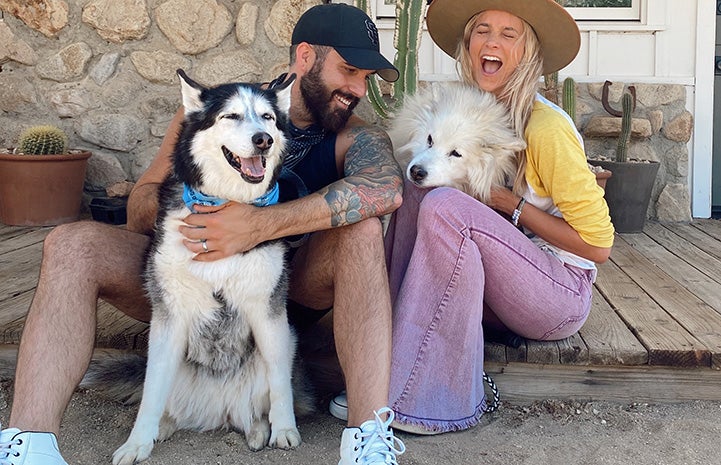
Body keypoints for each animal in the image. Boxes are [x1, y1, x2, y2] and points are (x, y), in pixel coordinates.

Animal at [109, 70, 298, 464]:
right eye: (231, 116)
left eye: (268, 117)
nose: (264, 140)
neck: (225, 204)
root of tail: (217, 410)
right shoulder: (170, 314)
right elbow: (151, 393)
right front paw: (137, 443)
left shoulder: (268, 310)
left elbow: (280, 385)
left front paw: (285, 429)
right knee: (163, 397)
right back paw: (163, 427)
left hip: (285, 343)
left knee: (257, 406)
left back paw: (259, 430)